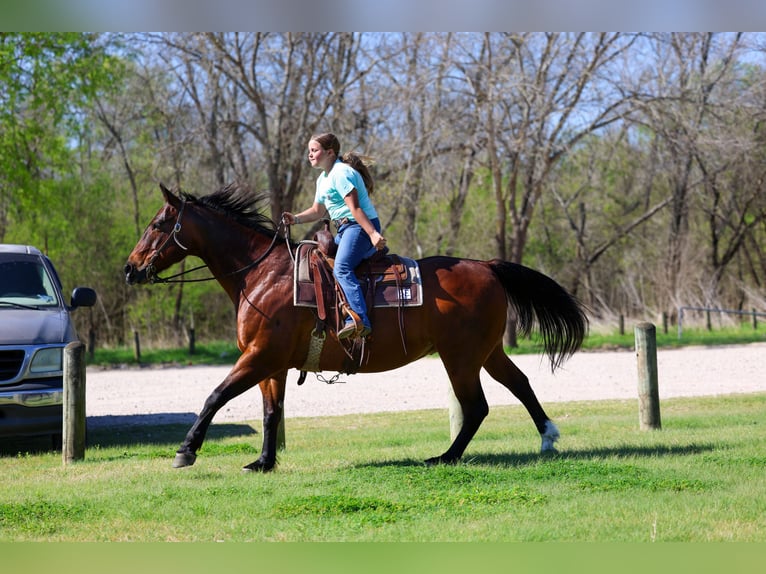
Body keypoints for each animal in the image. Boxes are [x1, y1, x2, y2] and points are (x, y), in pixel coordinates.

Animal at [123, 182, 588, 472]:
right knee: (519, 383)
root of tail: (487, 266)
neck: (261, 274)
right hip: (487, 352)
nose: (130, 269)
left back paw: (445, 457)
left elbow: (215, 396)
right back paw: (547, 437)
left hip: (460, 357)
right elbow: (272, 413)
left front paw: (186, 451)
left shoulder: (258, 356)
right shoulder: (271, 364)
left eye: (158, 224)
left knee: (476, 406)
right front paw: (264, 462)